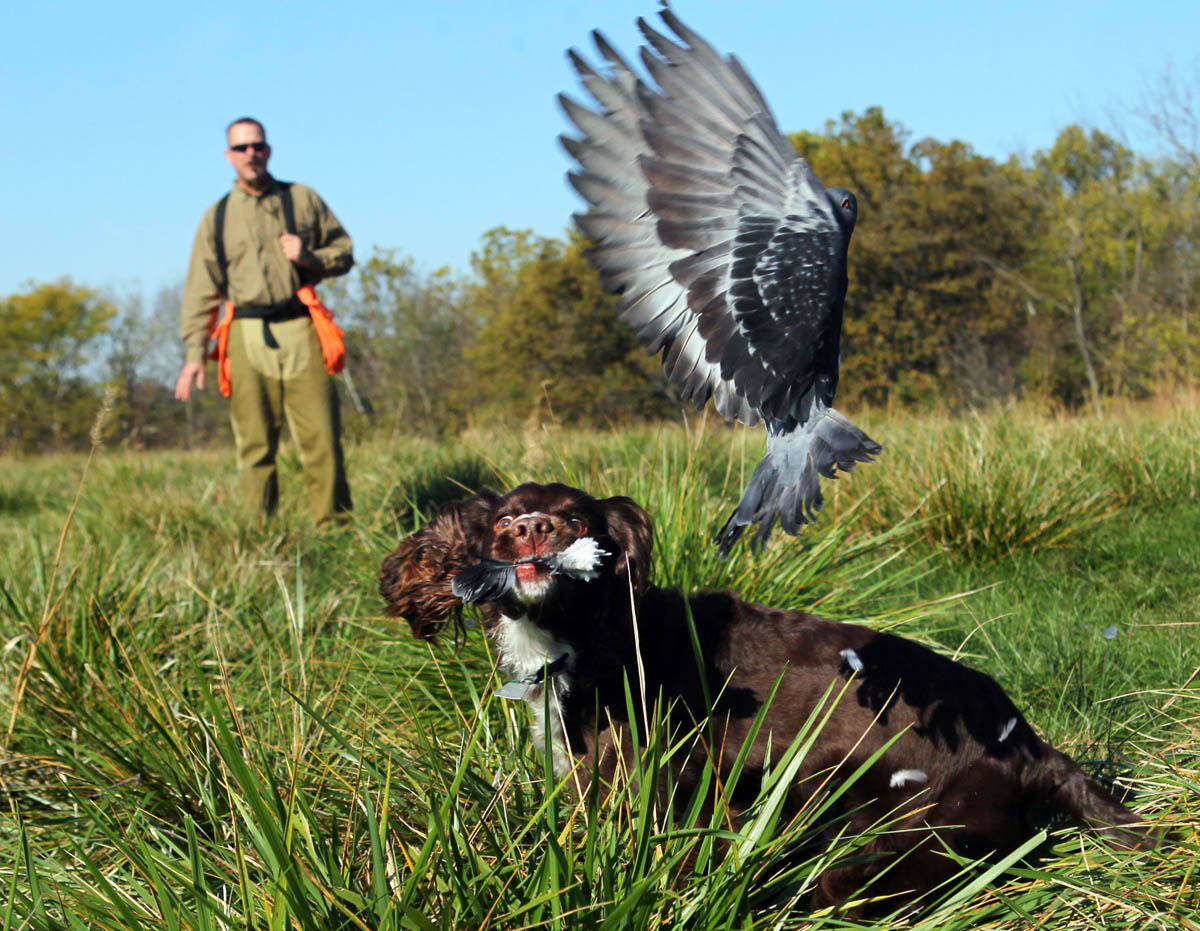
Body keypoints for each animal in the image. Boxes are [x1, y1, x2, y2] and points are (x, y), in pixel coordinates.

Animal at [381, 479, 1152, 907]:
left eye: (573, 521)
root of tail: (1029, 746)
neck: (584, 635)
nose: (532, 531)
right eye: (502, 522)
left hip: (880, 816)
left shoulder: (648, 782)